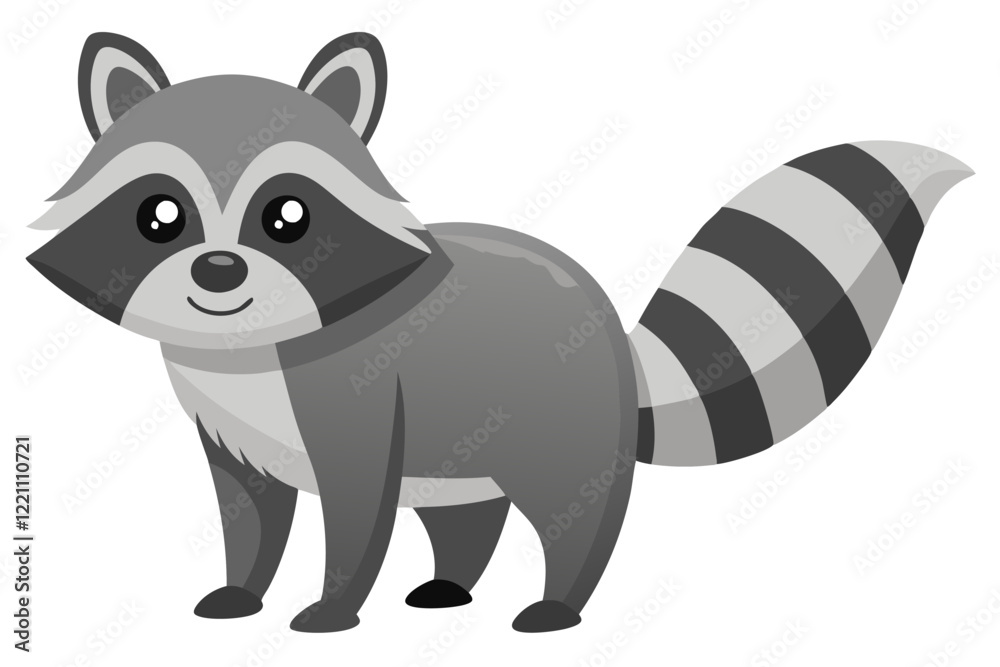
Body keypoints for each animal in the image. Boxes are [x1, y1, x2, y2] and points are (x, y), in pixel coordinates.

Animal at [27, 32, 973, 633]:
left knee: (575, 516)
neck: (249, 346)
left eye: (287, 217)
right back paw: (450, 583)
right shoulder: (229, 426)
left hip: (562, 428)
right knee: (467, 514)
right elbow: (248, 509)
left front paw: (332, 607)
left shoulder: (355, 404)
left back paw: (560, 603)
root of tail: (610, 331)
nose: (219, 273)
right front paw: (241, 586)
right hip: (464, 440)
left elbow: (356, 515)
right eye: (159, 216)